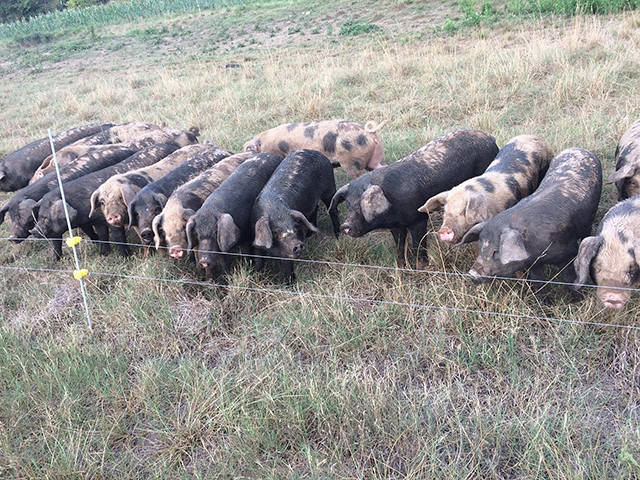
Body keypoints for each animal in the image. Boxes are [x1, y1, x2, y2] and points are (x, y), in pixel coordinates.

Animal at [31, 144, 179, 259]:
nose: (33, 230)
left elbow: (118, 237)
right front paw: (102, 255)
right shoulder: (95, 221)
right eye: (39, 216)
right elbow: (102, 235)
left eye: (45, 217)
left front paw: (125, 257)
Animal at [243, 120, 386, 179]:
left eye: (248, 151)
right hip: (377, 155)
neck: (263, 144)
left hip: (352, 160)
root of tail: (368, 132)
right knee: (380, 166)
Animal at [252, 149, 341, 283]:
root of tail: (320, 154)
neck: (276, 210)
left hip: (329, 187)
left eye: (294, 228)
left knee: (333, 210)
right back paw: (311, 234)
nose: (298, 244)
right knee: (315, 208)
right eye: (275, 232)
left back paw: (338, 236)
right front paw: (256, 279)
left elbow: (288, 264)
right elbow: (259, 260)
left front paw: (289, 283)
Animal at [329, 129, 499, 269]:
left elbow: (418, 245)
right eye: (348, 204)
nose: (345, 225)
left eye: (361, 206)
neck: (392, 211)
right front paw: (401, 267)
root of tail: (489, 138)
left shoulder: (419, 219)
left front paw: (420, 269)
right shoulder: (396, 226)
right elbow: (399, 246)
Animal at [458, 147, 602, 300]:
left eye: (496, 251)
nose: (472, 274)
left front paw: (577, 300)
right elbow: (538, 281)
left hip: (589, 220)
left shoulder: (568, 252)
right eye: (480, 246)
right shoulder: (533, 262)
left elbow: (568, 279)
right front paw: (545, 302)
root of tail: (580, 149)